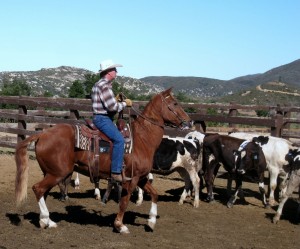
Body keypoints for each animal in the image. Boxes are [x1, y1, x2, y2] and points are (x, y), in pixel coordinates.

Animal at [14, 89, 192, 233]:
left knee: (43, 192)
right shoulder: (131, 179)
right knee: (38, 189)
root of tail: (42, 134)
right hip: (57, 173)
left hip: (50, 173)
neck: (142, 139)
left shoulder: (141, 177)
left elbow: (155, 194)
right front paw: (120, 225)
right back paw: (46, 220)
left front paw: (151, 221)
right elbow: (124, 202)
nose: (189, 121)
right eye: (175, 103)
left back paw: (46, 221)